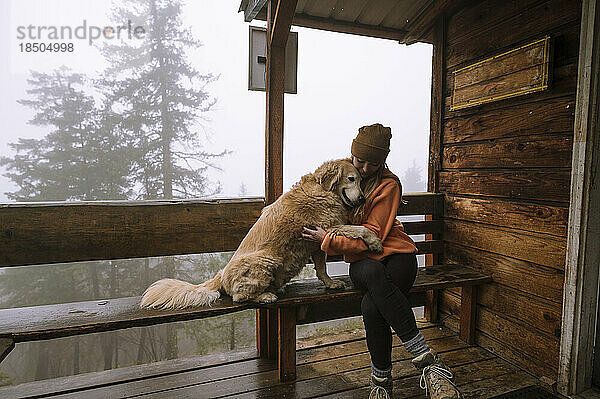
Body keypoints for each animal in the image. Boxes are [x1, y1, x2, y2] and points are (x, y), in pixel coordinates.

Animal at [141, 159, 382, 310]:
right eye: (351, 179)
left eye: (361, 180)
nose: (362, 198)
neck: (323, 190)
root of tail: (221, 274)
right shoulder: (327, 228)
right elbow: (360, 229)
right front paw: (375, 242)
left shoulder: (316, 240)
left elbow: (321, 268)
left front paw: (330, 283)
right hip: (266, 260)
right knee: (239, 296)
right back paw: (266, 295)